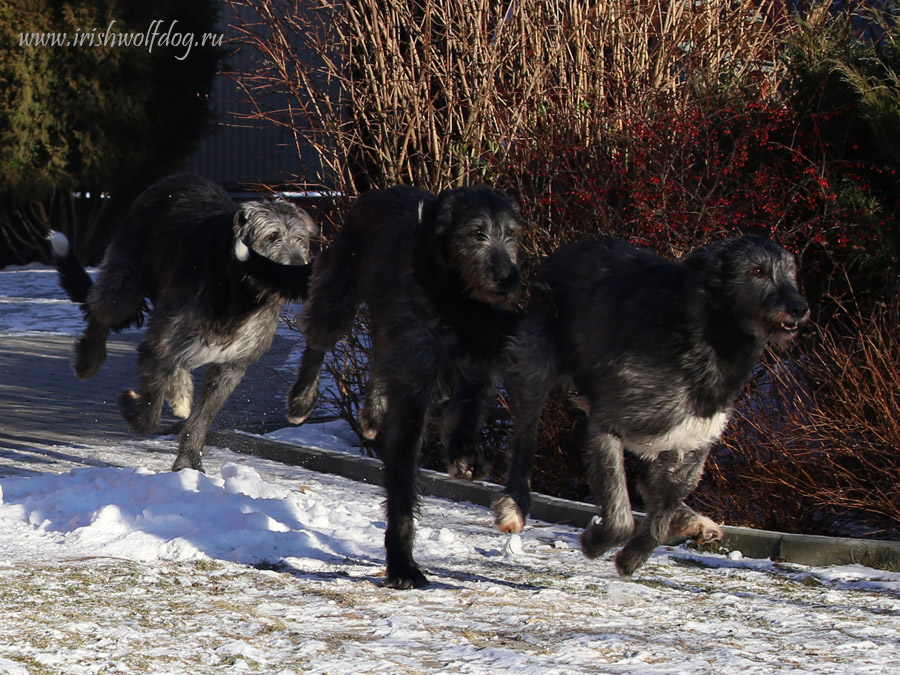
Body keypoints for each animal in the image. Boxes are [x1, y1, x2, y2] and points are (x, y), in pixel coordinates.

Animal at [50, 172, 316, 472]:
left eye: (302, 239)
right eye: (272, 236)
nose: (301, 273)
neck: (239, 293)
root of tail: (177, 177)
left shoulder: (232, 363)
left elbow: (203, 415)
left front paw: (189, 462)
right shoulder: (161, 343)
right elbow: (150, 412)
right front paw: (132, 408)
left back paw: (180, 391)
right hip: (127, 277)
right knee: (103, 310)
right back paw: (88, 360)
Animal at [492, 235, 808, 580]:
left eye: (791, 273)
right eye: (756, 271)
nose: (800, 307)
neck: (706, 340)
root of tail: (572, 247)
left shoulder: (691, 443)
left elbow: (665, 504)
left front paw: (634, 555)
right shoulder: (608, 422)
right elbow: (620, 510)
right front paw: (597, 543)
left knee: (652, 483)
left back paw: (693, 522)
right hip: (535, 365)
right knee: (525, 437)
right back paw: (513, 507)